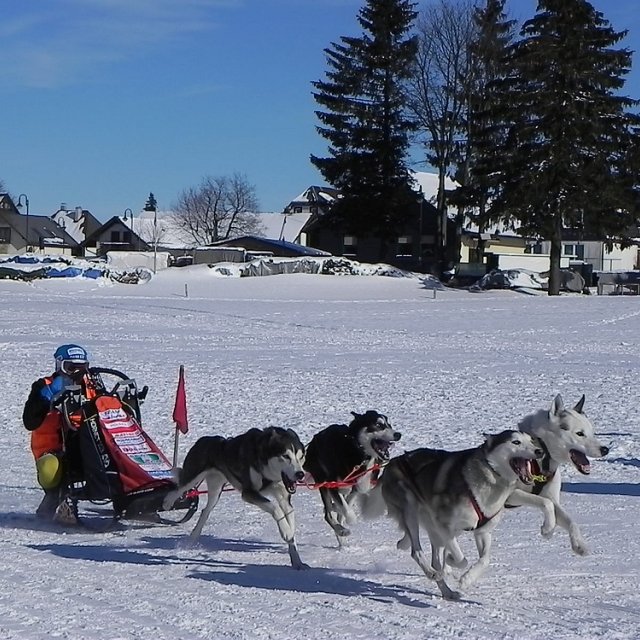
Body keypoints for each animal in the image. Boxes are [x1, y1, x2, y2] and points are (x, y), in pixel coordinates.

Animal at [162, 428, 308, 568]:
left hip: (216, 489)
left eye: (301, 457)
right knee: (178, 489)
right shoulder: (249, 493)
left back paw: (193, 536)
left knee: (205, 511)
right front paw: (286, 531)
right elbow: (276, 508)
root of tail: (206, 439)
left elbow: (290, 517)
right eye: (286, 456)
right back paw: (167, 502)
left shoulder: (284, 498)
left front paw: (296, 559)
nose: (300, 474)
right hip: (193, 477)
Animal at [304, 412, 400, 544]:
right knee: (328, 514)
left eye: (389, 424)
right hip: (323, 483)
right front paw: (351, 520)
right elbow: (346, 509)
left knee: (336, 512)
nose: (398, 435)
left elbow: (347, 504)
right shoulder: (333, 485)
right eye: (378, 425)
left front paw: (339, 510)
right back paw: (341, 530)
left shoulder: (358, 487)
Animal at [368, 430, 544, 600]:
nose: (540, 451)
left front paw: (467, 579)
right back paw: (432, 573)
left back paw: (447, 591)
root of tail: (392, 463)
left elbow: (484, 560)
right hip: (410, 510)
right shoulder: (444, 526)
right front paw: (453, 563)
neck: (490, 478)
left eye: (531, 440)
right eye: (516, 442)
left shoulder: (482, 531)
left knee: (435, 559)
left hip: (434, 531)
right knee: (417, 551)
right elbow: (461, 559)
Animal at [504, 390, 608, 556]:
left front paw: (579, 544)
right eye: (579, 433)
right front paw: (548, 529)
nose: (605, 449)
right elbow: (547, 504)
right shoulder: (511, 495)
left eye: (593, 433)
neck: (542, 458)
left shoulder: (552, 497)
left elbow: (570, 521)